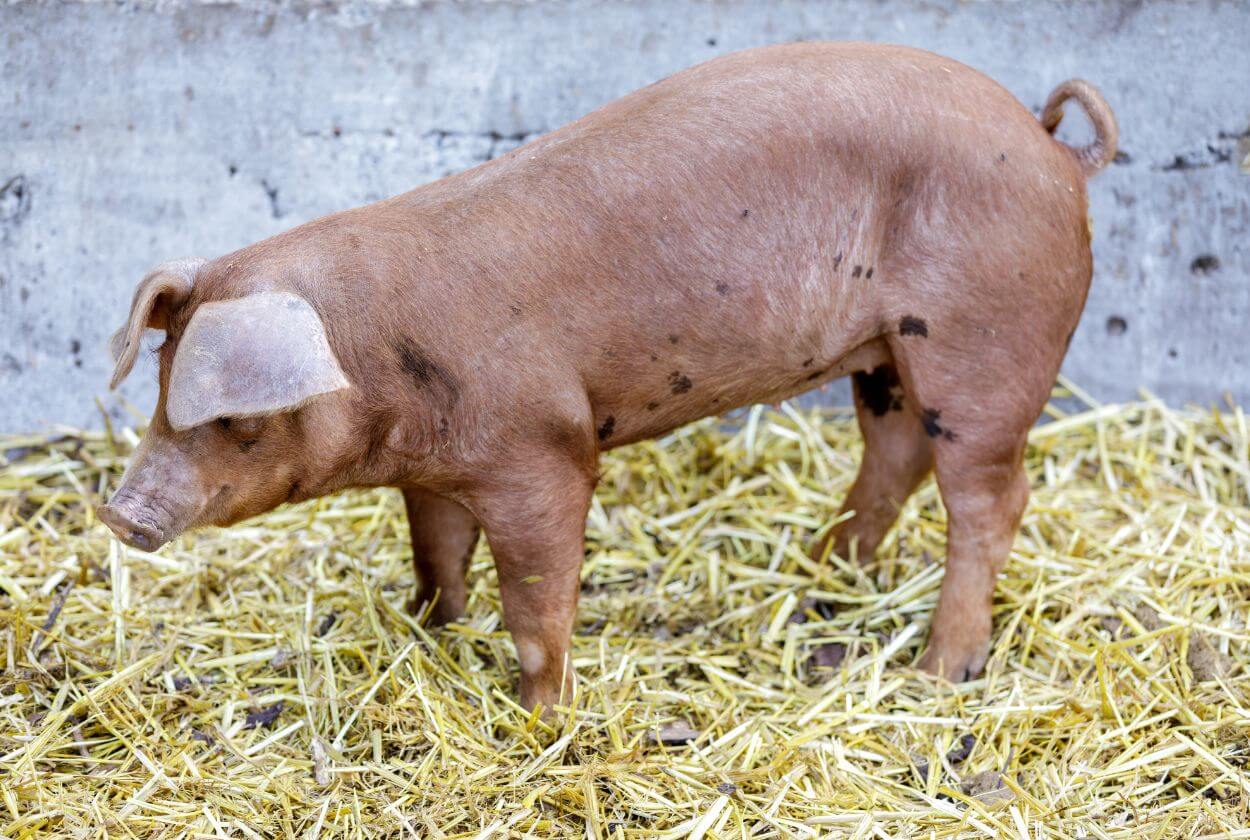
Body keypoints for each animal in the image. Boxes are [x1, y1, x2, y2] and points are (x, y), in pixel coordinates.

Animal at [95, 42, 1115, 710]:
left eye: (240, 422)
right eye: (160, 387)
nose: (120, 512)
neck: (379, 363)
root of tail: (1052, 144)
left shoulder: (542, 453)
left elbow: (537, 595)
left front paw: (539, 717)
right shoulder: (438, 473)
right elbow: (436, 554)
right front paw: (429, 631)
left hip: (984, 340)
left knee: (990, 498)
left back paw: (941, 674)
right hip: (886, 357)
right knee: (895, 457)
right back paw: (823, 575)